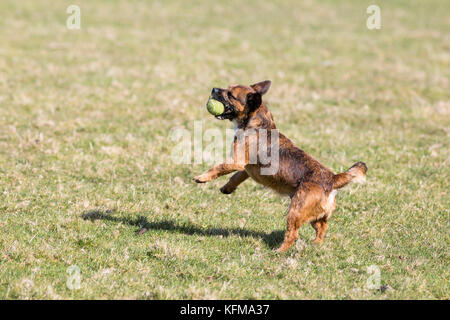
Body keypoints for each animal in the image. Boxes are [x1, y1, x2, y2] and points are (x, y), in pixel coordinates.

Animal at [193, 81, 366, 251]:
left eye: (230, 94)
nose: (213, 88)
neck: (257, 123)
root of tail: (333, 179)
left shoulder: (236, 161)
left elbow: (218, 168)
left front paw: (201, 178)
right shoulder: (245, 169)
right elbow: (235, 177)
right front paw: (227, 188)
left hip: (295, 211)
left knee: (293, 234)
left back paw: (279, 251)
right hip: (313, 215)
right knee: (322, 227)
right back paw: (315, 244)